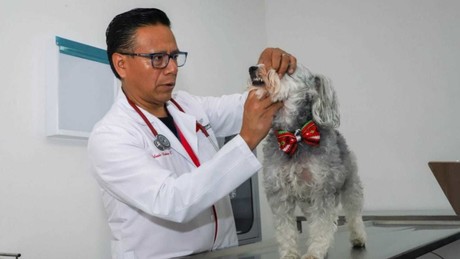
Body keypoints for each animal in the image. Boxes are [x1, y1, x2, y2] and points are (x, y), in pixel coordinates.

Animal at [248, 64, 366, 259]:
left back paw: (358, 237)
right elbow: (285, 229)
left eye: (285, 69)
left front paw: (314, 252)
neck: (296, 136)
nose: (252, 68)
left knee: (354, 213)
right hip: (307, 200)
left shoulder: (322, 189)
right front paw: (289, 253)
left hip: (351, 185)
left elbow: (322, 224)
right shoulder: (280, 193)